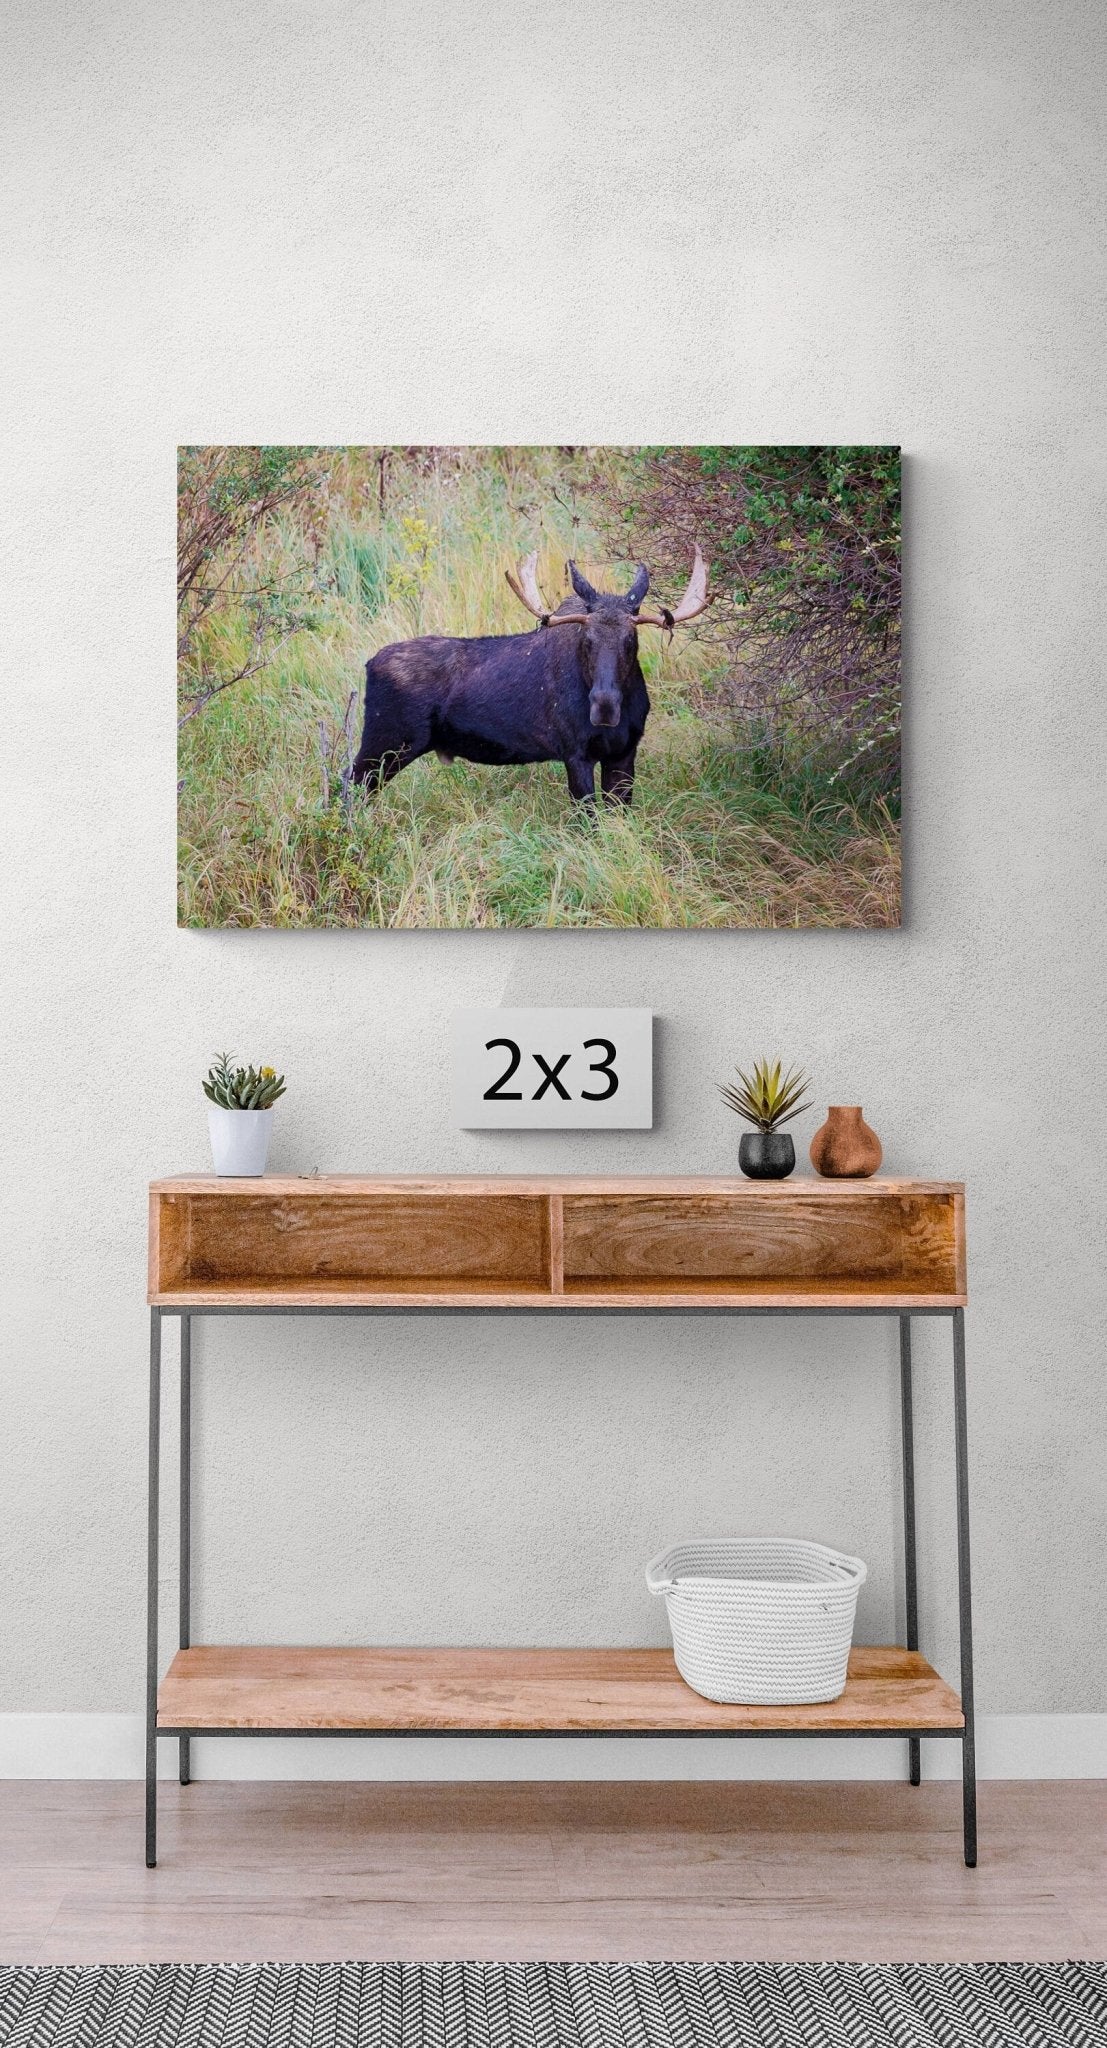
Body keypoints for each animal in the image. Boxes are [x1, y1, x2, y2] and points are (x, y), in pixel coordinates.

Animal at [348, 546, 709, 810]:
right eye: (587, 640)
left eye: (630, 640)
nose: (604, 706)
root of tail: (368, 664)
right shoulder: (575, 754)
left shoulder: (623, 753)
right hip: (384, 745)